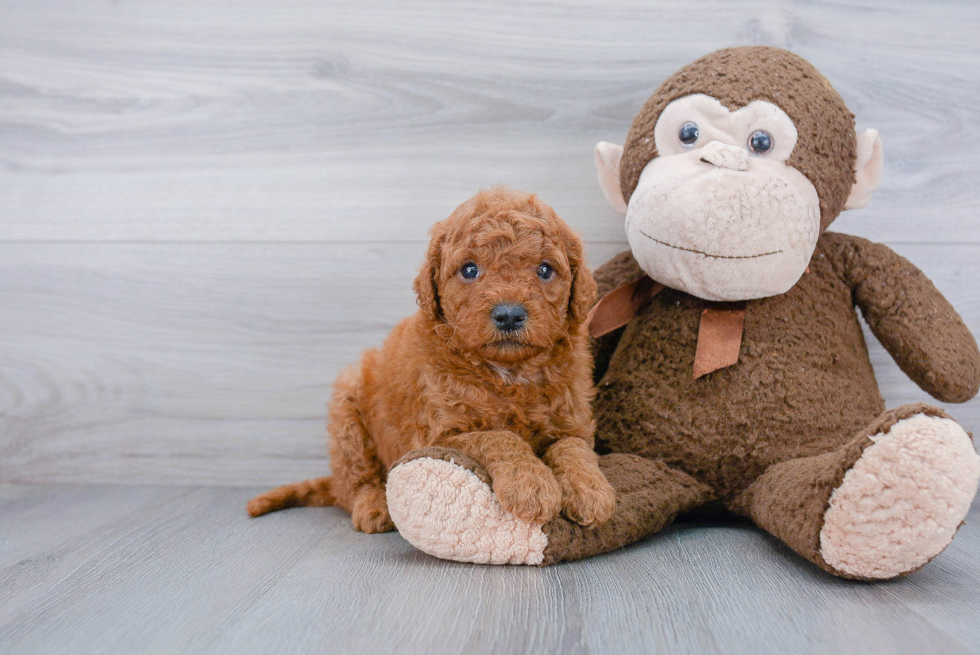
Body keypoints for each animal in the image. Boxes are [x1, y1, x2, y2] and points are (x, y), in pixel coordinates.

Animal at [247, 186, 612, 532]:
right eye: (469, 269)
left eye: (545, 270)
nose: (509, 314)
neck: (509, 373)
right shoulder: (441, 436)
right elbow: (499, 437)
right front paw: (530, 483)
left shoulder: (572, 421)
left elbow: (573, 448)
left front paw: (590, 490)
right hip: (347, 411)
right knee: (354, 482)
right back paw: (373, 506)